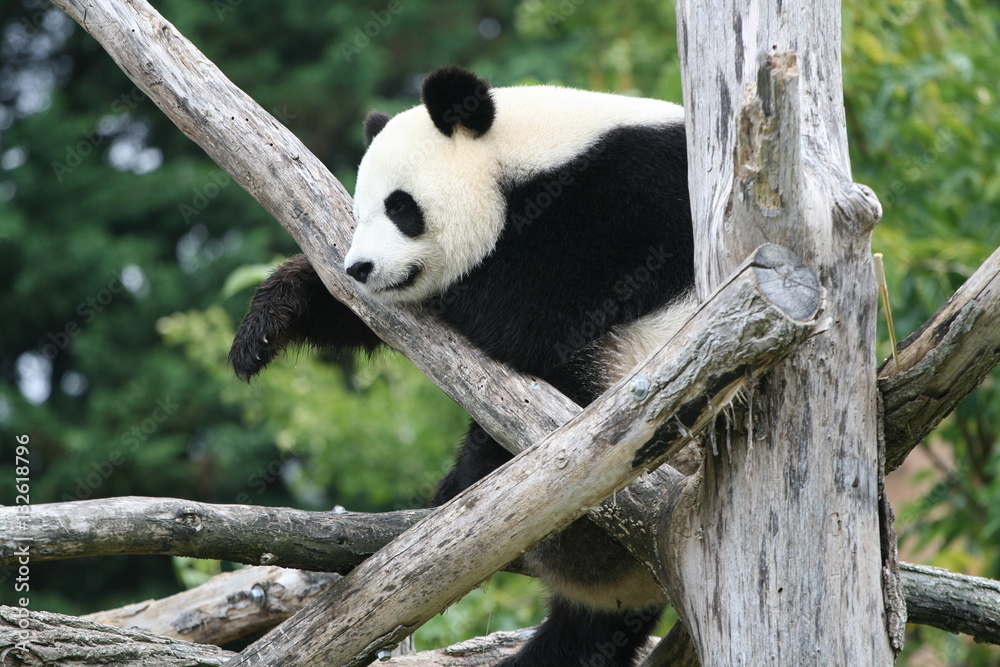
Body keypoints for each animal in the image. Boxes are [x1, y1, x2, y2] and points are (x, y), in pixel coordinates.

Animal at [230, 66, 696, 667]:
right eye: (359, 212)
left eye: (400, 207)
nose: (361, 267)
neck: (528, 151)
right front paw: (266, 325)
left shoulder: (624, 206)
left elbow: (520, 314)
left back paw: (464, 487)